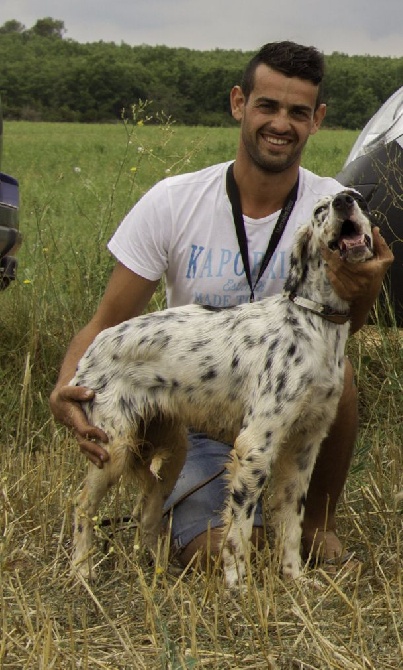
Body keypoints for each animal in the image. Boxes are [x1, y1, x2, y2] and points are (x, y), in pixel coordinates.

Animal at [71, 190, 374, 588]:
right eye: (320, 210)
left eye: (359, 200)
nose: (343, 201)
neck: (314, 321)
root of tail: (94, 344)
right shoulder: (254, 447)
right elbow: (238, 530)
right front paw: (238, 583)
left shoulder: (303, 446)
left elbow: (291, 525)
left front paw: (294, 578)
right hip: (113, 448)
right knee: (83, 506)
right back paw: (81, 569)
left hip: (171, 451)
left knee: (146, 510)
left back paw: (158, 570)